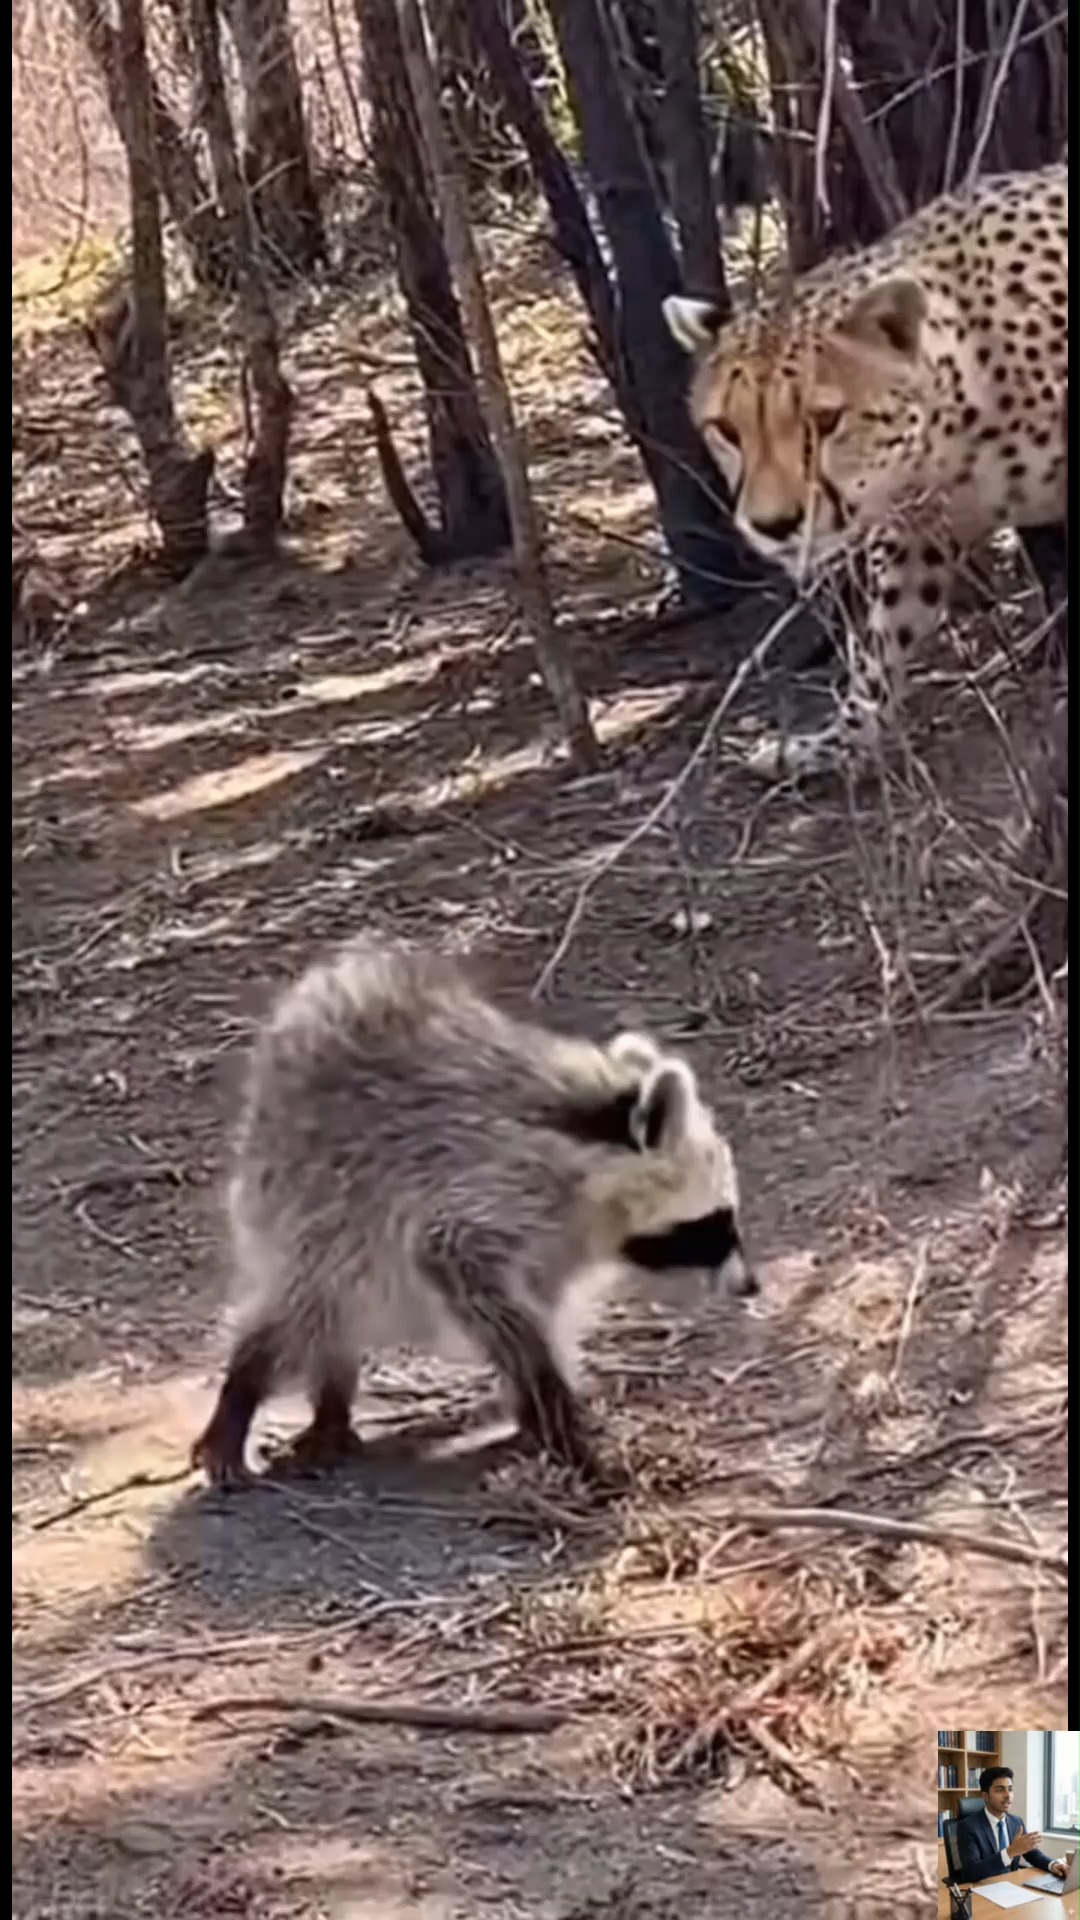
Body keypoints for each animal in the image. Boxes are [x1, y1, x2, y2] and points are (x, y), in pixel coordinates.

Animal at [192, 937, 756, 1487]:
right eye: (713, 1224)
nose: (750, 1286)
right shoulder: (485, 1191)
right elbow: (468, 1275)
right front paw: (552, 1408)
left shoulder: (554, 1247)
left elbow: (542, 1311)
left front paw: (537, 1402)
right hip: (300, 1200)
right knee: (305, 1305)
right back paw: (246, 1390)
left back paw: (332, 1396)